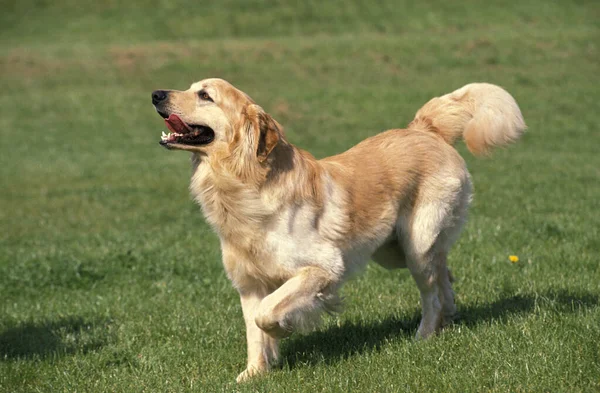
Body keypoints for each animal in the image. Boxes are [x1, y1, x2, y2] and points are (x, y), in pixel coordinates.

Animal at [151, 78, 524, 382]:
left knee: (430, 292)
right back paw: (448, 319)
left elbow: (266, 314)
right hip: (396, 251)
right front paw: (254, 374)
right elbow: (254, 332)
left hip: (416, 245)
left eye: (205, 95)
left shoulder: (323, 267)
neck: (244, 185)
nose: (156, 94)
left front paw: (284, 330)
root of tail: (425, 129)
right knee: (444, 275)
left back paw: (423, 335)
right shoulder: (249, 283)